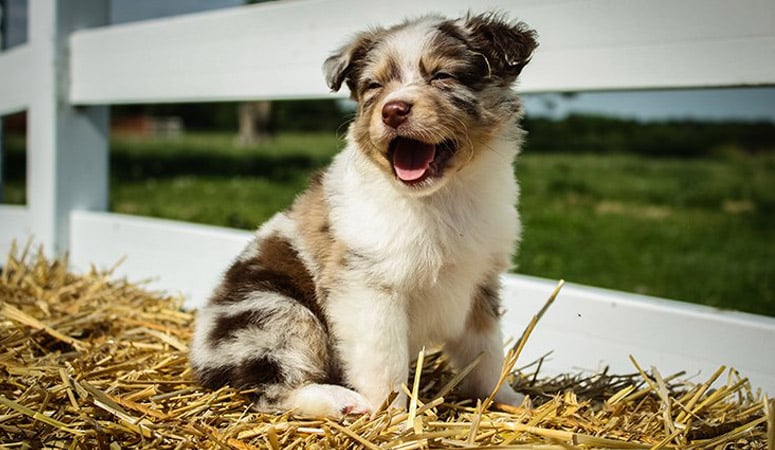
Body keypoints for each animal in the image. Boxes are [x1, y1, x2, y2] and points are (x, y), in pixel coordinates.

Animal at [191, 11, 536, 418]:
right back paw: (341, 401)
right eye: (375, 85)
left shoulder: (480, 283)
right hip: (276, 313)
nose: (393, 110)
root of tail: (200, 359)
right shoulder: (369, 287)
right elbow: (385, 362)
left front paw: (507, 399)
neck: (442, 197)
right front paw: (393, 416)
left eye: (442, 76)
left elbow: (487, 353)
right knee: (271, 391)